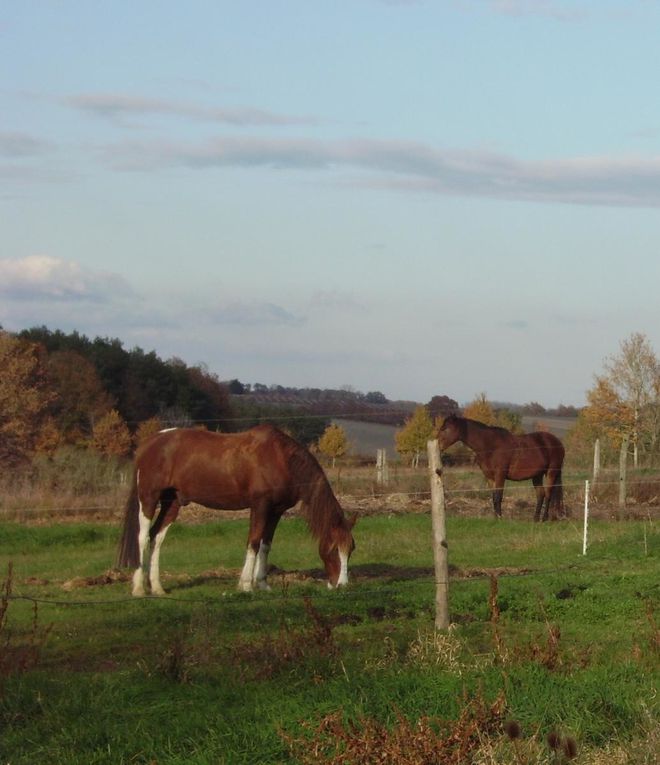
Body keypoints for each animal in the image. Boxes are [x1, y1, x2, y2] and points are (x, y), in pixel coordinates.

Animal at [118, 424, 356, 596]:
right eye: (333, 549)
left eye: (351, 549)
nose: (342, 586)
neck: (281, 459)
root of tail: (149, 443)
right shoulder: (260, 506)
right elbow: (253, 542)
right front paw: (246, 585)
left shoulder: (276, 511)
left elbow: (266, 545)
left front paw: (263, 584)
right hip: (148, 499)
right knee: (142, 537)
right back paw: (139, 588)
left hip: (172, 503)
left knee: (156, 537)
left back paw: (157, 588)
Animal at [436, 414, 564, 524]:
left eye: (445, 429)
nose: (438, 447)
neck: (490, 446)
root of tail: (558, 442)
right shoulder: (490, 477)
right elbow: (493, 497)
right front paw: (495, 518)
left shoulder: (500, 475)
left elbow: (498, 497)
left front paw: (499, 518)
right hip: (537, 475)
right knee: (541, 494)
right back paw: (536, 519)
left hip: (551, 472)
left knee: (548, 494)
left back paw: (544, 518)